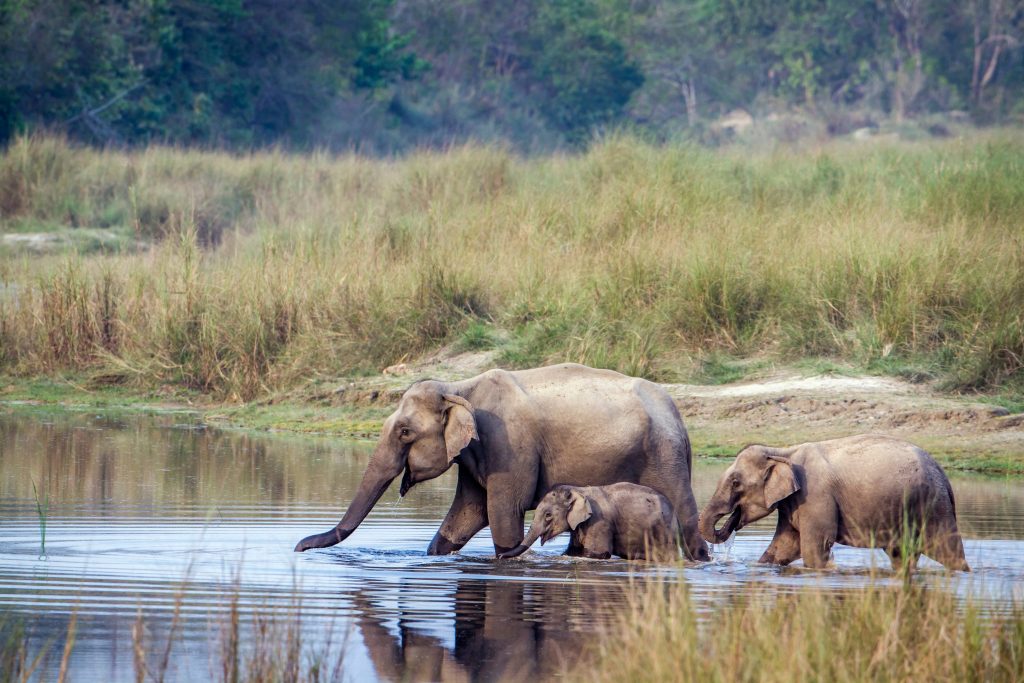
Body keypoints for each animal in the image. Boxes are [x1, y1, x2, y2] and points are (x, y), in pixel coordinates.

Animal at [498, 483, 680, 560]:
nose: (499, 556)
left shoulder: (599, 523)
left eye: (548, 515)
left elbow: (596, 554)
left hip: (665, 532)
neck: (578, 490)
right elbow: (572, 552)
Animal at [698, 434, 969, 570]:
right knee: (901, 555)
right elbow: (784, 545)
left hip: (933, 506)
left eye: (736, 483)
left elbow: (813, 547)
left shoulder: (816, 495)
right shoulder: (794, 501)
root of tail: (943, 474)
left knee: (948, 550)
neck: (782, 451)